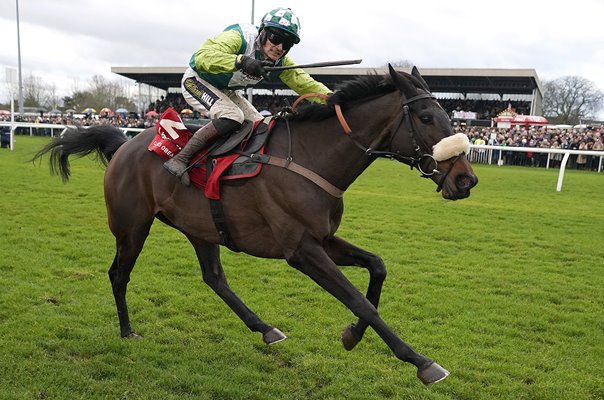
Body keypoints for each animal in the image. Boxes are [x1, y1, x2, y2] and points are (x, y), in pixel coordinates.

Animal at [35, 65, 478, 384]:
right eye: (426, 116)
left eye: (449, 116)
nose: (465, 180)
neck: (312, 157)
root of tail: (126, 143)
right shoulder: (302, 250)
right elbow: (359, 300)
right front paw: (421, 362)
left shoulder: (324, 239)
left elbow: (377, 267)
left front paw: (352, 335)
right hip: (132, 226)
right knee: (119, 273)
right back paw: (128, 331)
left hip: (200, 227)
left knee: (214, 278)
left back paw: (264, 328)